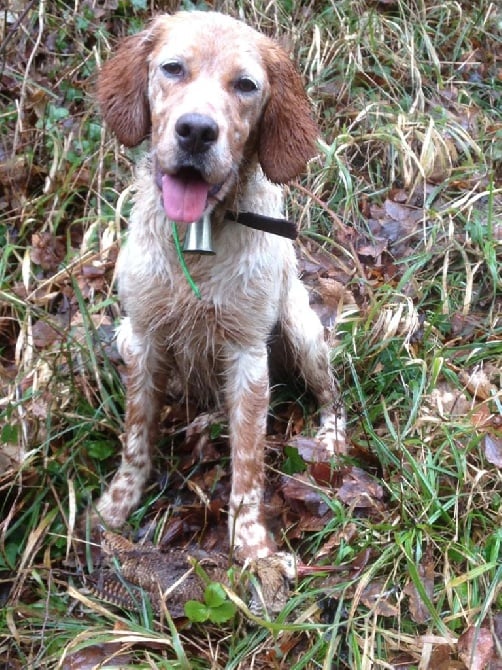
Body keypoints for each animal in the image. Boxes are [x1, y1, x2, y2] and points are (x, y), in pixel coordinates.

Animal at [94, 10, 346, 560]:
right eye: (172, 68)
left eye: (246, 85)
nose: (196, 131)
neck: (197, 235)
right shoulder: (143, 338)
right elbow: (136, 434)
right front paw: (117, 505)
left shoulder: (248, 355)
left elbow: (248, 460)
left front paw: (250, 545)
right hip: (123, 336)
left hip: (301, 331)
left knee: (333, 394)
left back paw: (331, 440)